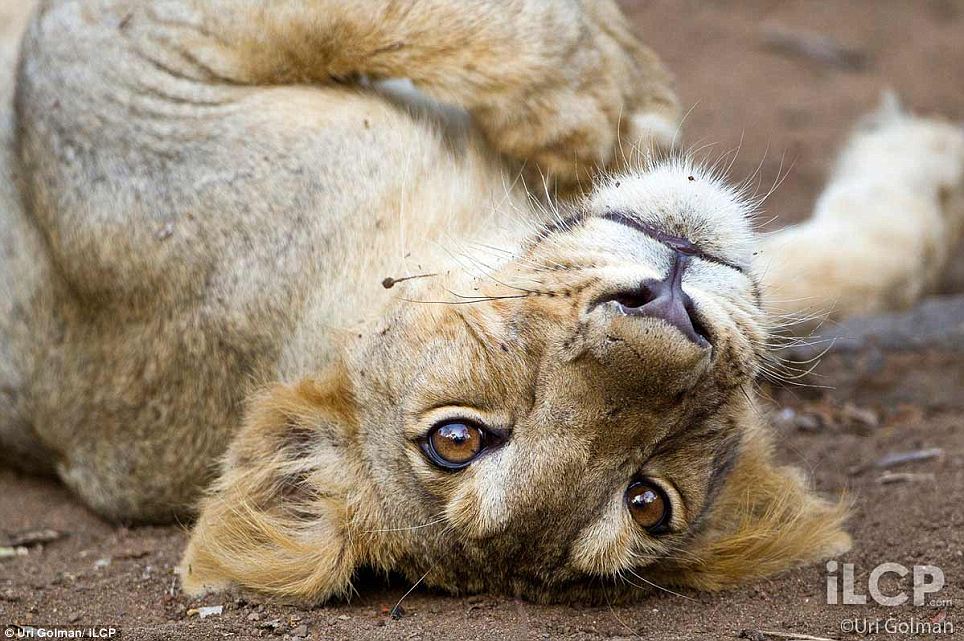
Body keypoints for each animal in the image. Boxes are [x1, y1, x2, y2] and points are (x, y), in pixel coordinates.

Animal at [0, 0, 960, 604]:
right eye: (457, 439)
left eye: (648, 499)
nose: (669, 309)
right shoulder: (95, 90)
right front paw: (616, 101)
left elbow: (825, 281)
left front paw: (925, 170)